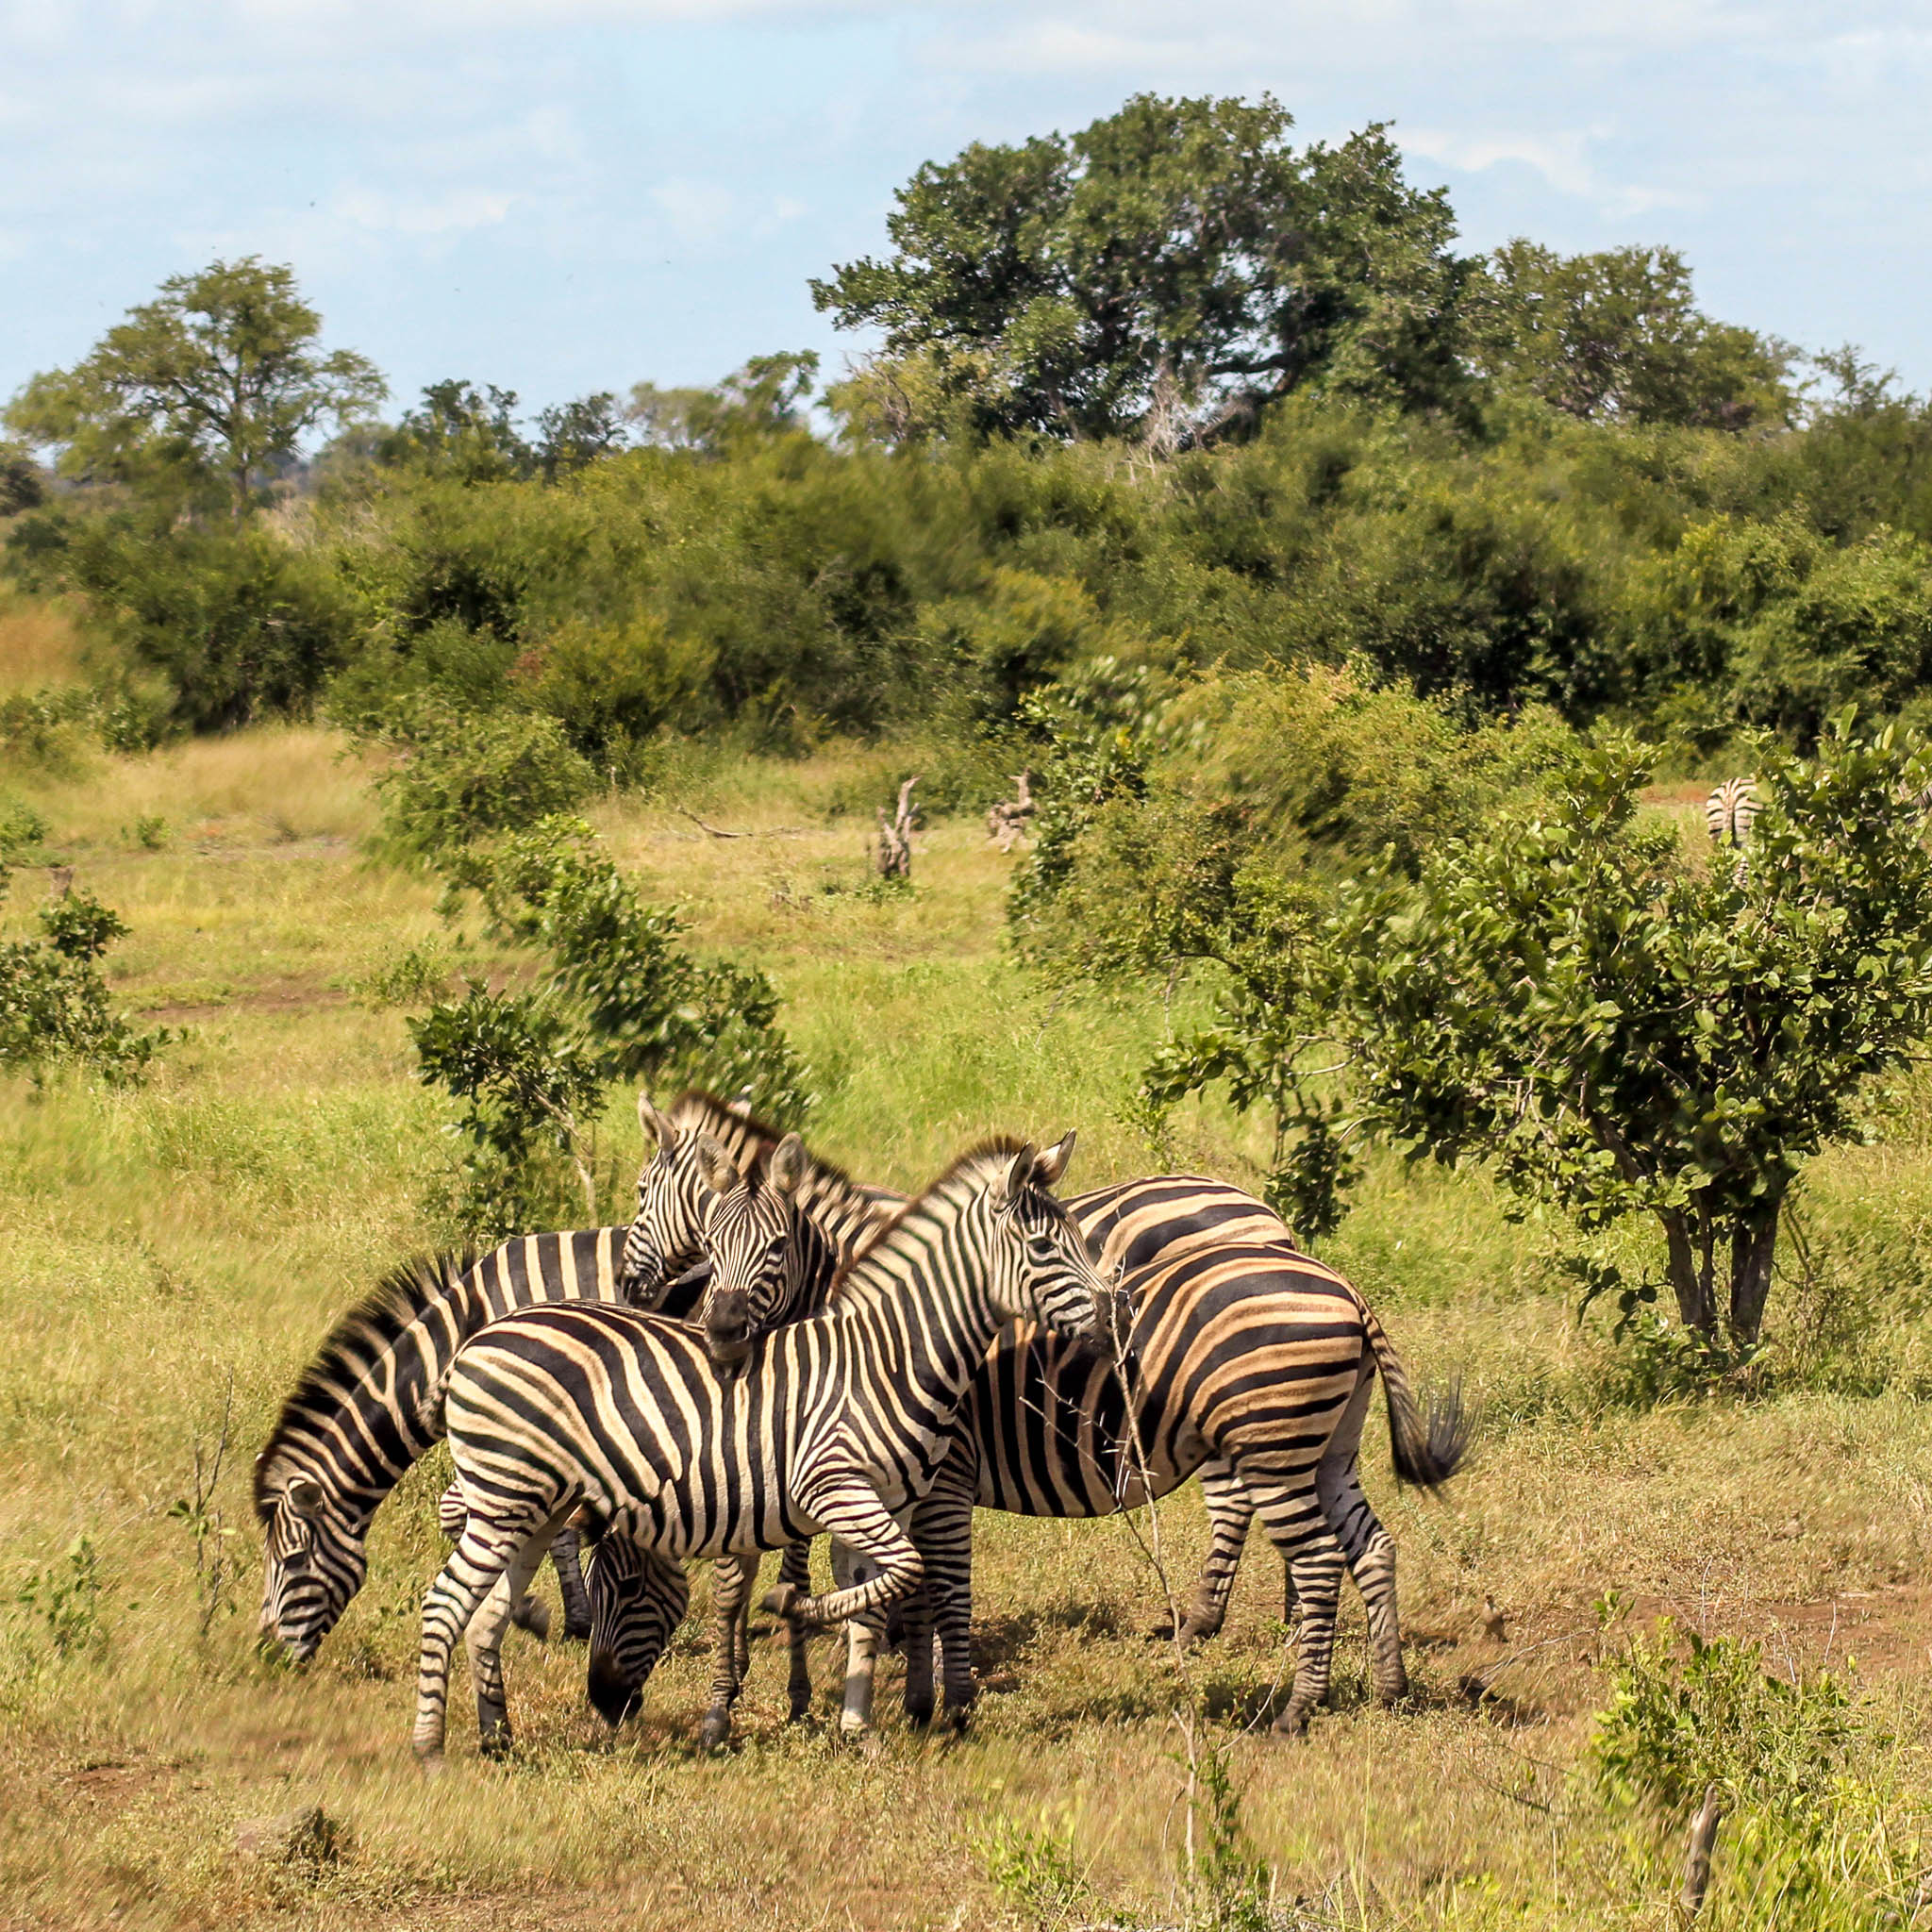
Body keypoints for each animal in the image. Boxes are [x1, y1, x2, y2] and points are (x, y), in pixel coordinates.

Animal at [411, 1135, 1121, 1766]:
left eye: (1078, 1236)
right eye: (1043, 1247)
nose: (1115, 1317)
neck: (890, 1357)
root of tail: (477, 1340)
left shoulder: (885, 1500)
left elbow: (877, 1600)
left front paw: (857, 1728)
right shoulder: (834, 1489)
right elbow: (902, 1572)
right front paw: (791, 1614)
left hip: (536, 1508)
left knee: (487, 1613)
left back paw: (498, 1739)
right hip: (506, 1497)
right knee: (445, 1604)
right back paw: (430, 1750)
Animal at [599, 1134, 1464, 1738]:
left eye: (776, 1248)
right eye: (712, 1242)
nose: (717, 1330)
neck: (886, 1331)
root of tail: (1343, 1286)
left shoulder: (944, 1478)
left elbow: (942, 1588)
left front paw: (944, 1705)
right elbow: (907, 1590)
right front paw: (909, 1698)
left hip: (1270, 1446)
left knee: (1313, 1559)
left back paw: (1292, 1704)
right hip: (1325, 1449)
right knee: (1371, 1547)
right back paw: (1387, 1688)